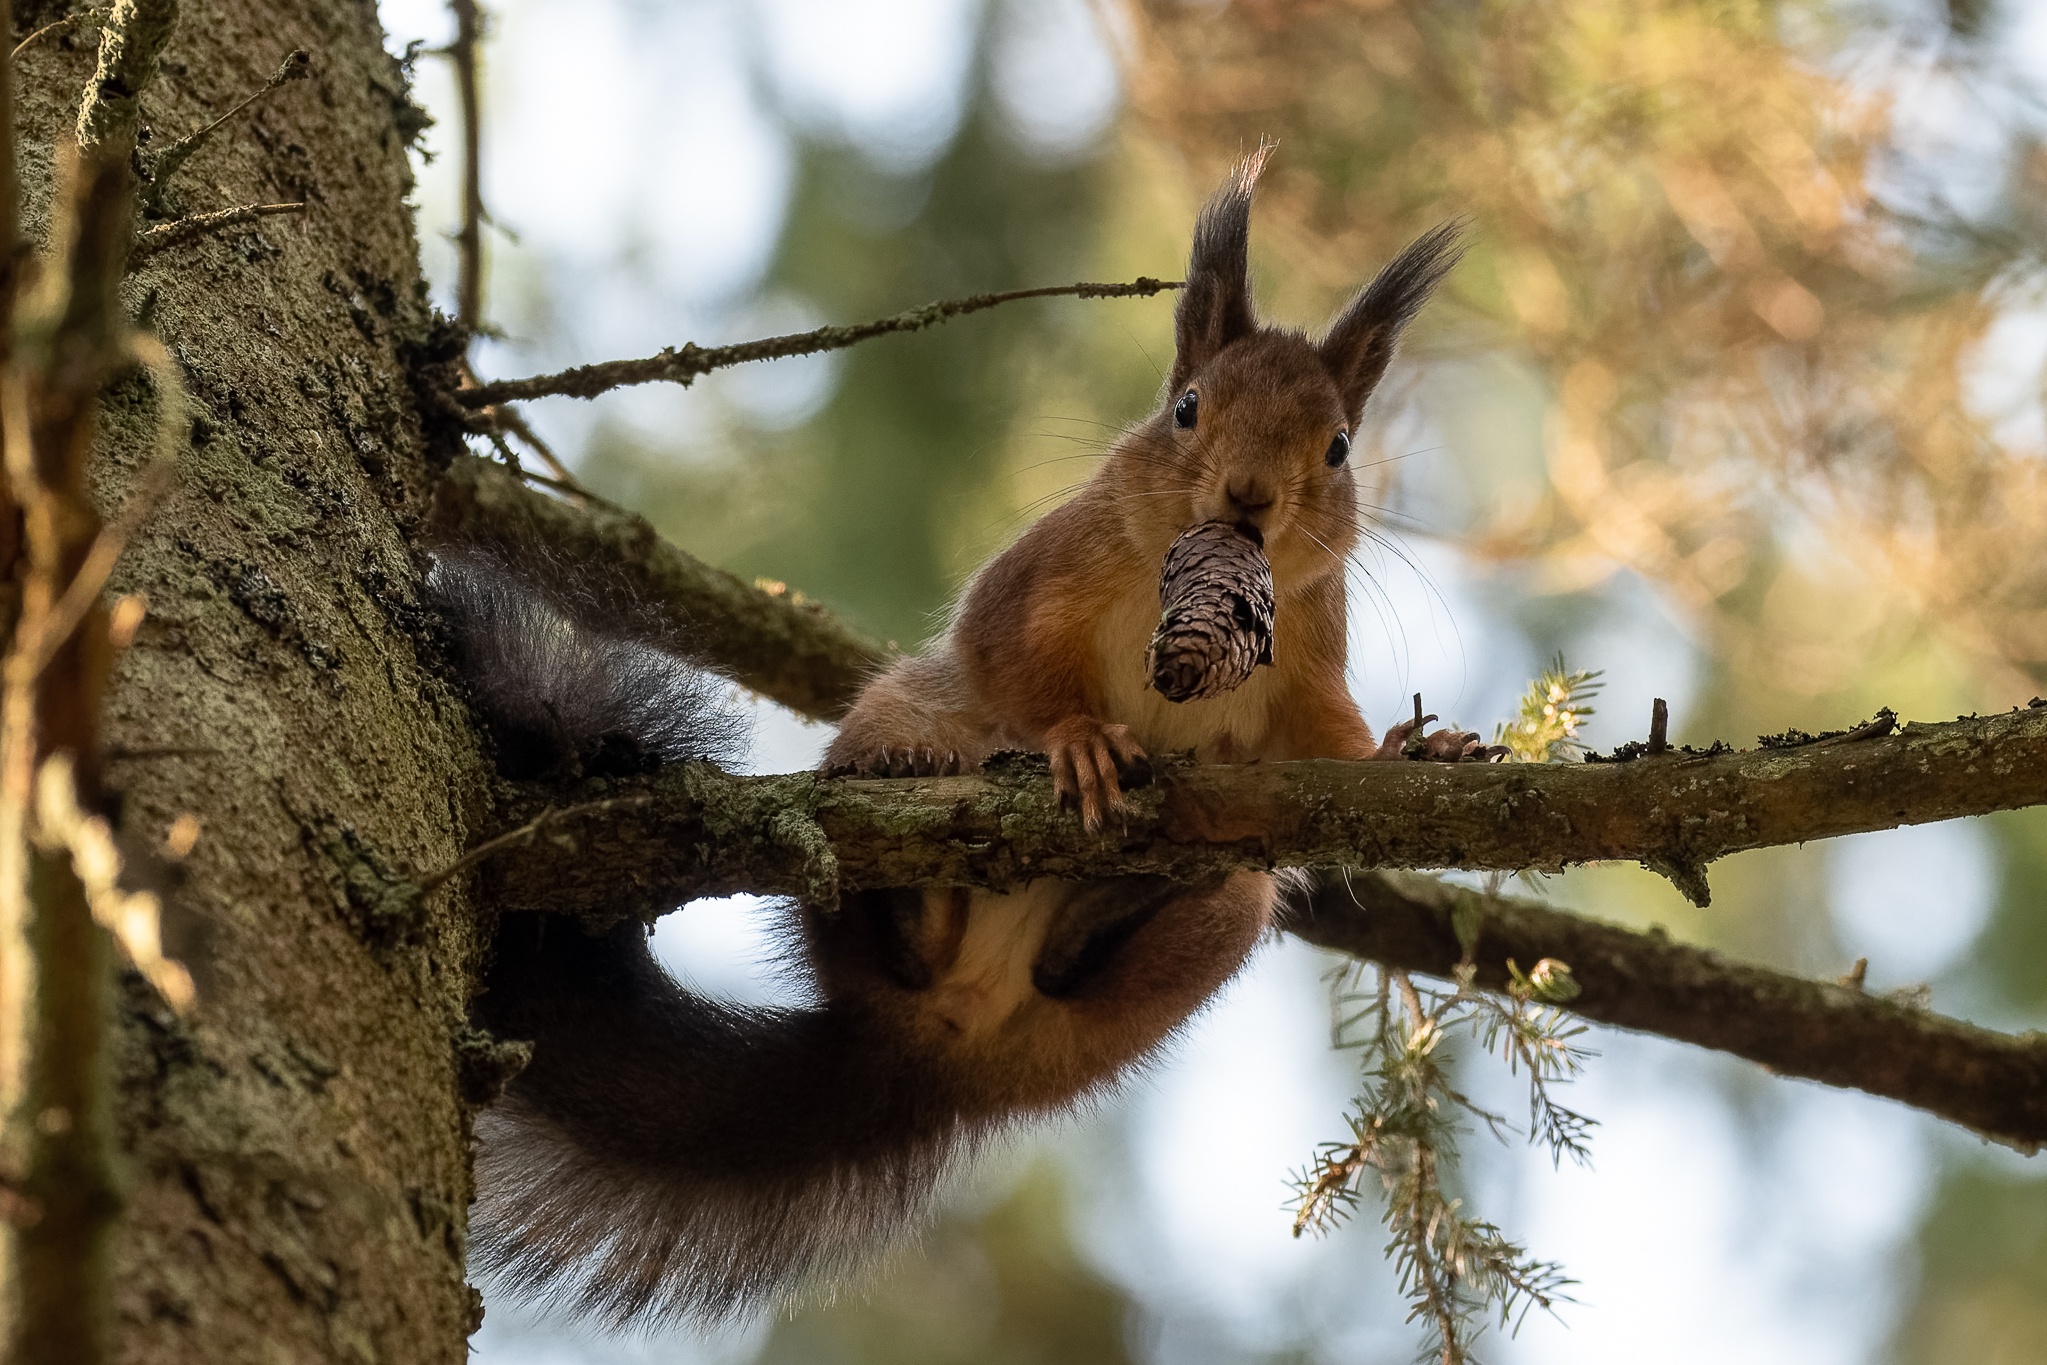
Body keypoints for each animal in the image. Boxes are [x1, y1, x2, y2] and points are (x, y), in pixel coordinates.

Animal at [444, 152, 1473, 1334]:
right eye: (1186, 408)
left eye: (1339, 448)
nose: (1250, 498)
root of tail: (943, 1057)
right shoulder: (1036, 581)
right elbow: (1012, 663)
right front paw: (1078, 739)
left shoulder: (1305, 660)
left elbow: (1330, 744)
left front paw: (1415, 754)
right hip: (892, 745)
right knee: (881, 908)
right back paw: (909, 841)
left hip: (1227, 913)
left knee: (1115, 946)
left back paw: (1117, 906)